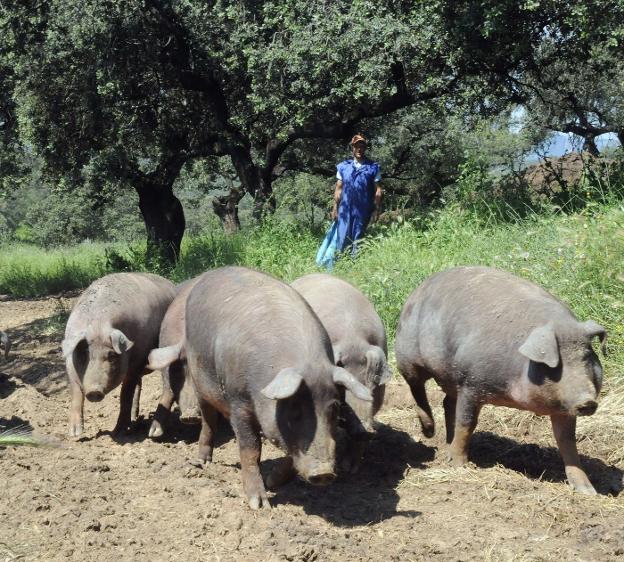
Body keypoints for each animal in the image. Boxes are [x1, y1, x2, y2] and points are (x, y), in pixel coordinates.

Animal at [61, 274, 176, 436]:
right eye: (84, 354)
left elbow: (125, 394)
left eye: (111, 356)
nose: (94, 391)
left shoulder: (137, 362)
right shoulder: (69, 363)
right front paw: (75, 434)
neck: (98, 324)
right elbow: (76, 392)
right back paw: (135, 419)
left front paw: (119, 431)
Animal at [398, 264, 608, 492]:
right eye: (556, 364)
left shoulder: (564, 406)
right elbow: (467, 424)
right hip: (408, 357)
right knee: (417, 388)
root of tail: (418, 289)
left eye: (586, 358)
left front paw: (588, 491)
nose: (588, 401)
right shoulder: (471, 383)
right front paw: (459, 465)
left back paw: (447, 443)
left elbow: (567, 441)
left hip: (451, 378)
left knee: (447, 402)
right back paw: (429, 432)